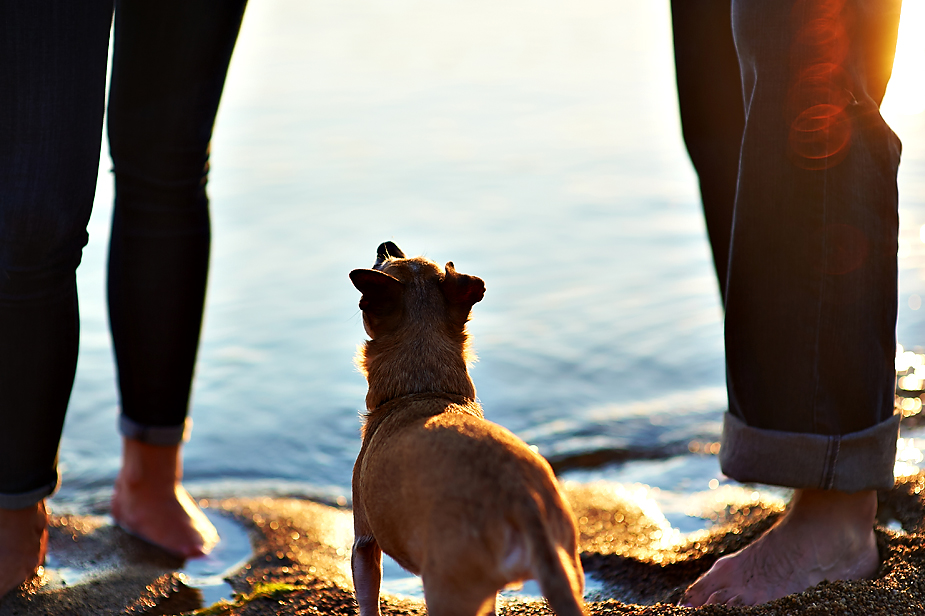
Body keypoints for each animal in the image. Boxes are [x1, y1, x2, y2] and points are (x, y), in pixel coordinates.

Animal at [348, 242, 584, 616]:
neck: (425, 389)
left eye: (386, 263)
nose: (386, 245)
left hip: (447, 586)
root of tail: (521, 499)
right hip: (563, 570)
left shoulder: (364, 542)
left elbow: (368, 602)